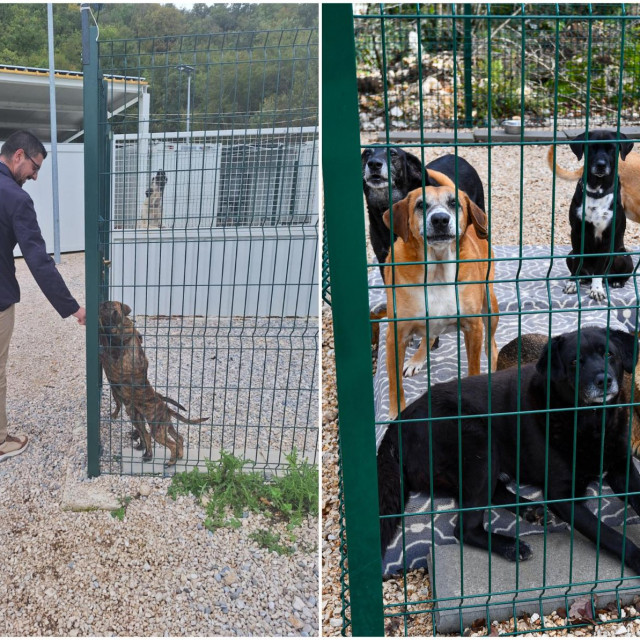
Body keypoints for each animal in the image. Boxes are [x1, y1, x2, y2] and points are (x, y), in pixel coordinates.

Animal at [98, 300, 208, 464]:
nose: (103, 305)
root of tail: (166, 408)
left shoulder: (113, 363)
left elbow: (105, 345)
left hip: (155, 428)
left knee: (162, 440)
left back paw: (168, 460)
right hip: (161, 425)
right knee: (176, 438)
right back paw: (173, 456)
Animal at [380, 170, 500, 420]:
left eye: (454, 204)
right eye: (420, 205)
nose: (440, 220)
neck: (437, 271)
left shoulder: (474, 327)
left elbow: (474, 368)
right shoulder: (396, 334)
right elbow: (395, 384)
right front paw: (396, 414)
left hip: (490, 308)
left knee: (492, 347)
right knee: (429, 337)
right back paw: (417, 359)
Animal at [564, 131, 632, 302]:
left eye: (612, 149)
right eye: (592, 147)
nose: (601, 164)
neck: (597, 190)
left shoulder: (607, 237)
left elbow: (600, 267)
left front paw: (597, 289)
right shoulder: (576, 233)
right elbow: (577, 262)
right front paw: (572, 283)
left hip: (623, 255)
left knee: (619, 275)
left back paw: (616, 282)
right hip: (569, 255)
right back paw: (583, 278)